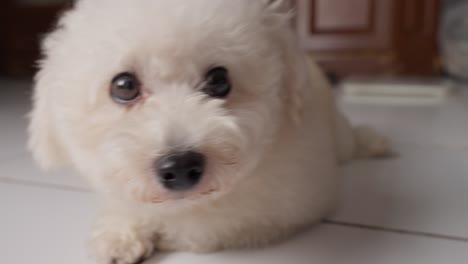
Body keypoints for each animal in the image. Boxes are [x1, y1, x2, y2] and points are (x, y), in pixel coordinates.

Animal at [28, 1, 388, 262]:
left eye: (218, 79)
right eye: (124, 86)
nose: (180, 167)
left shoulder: (281, 209)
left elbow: (201, 227)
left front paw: (157, 231)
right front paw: (121, 231)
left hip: (339, 136)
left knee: (352, 142)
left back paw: (373, 142)